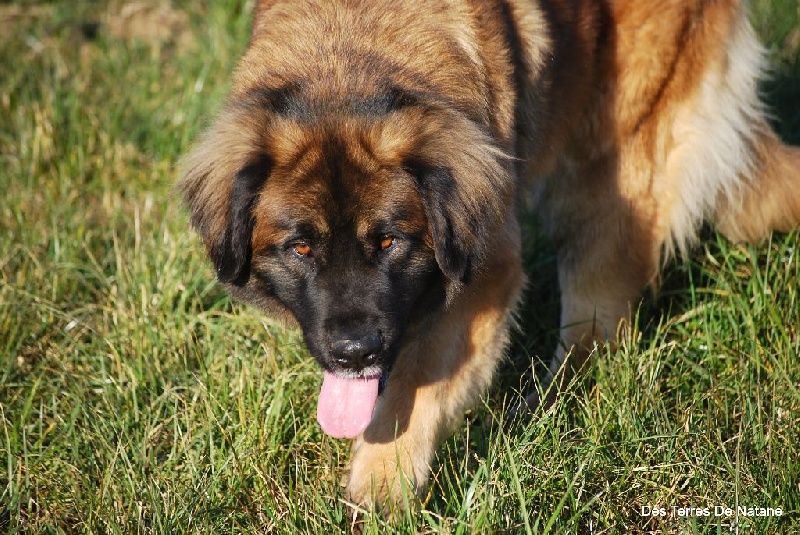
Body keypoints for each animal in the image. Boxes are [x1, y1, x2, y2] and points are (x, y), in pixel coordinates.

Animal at [181, 0, 800, 520]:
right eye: (301, 248)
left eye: (389, 242)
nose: (354, 352)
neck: (346, 61)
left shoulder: (483, 275)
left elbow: (413, 390)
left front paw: (379, 493)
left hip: (609, 167)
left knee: (595, 319)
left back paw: (544, 406)